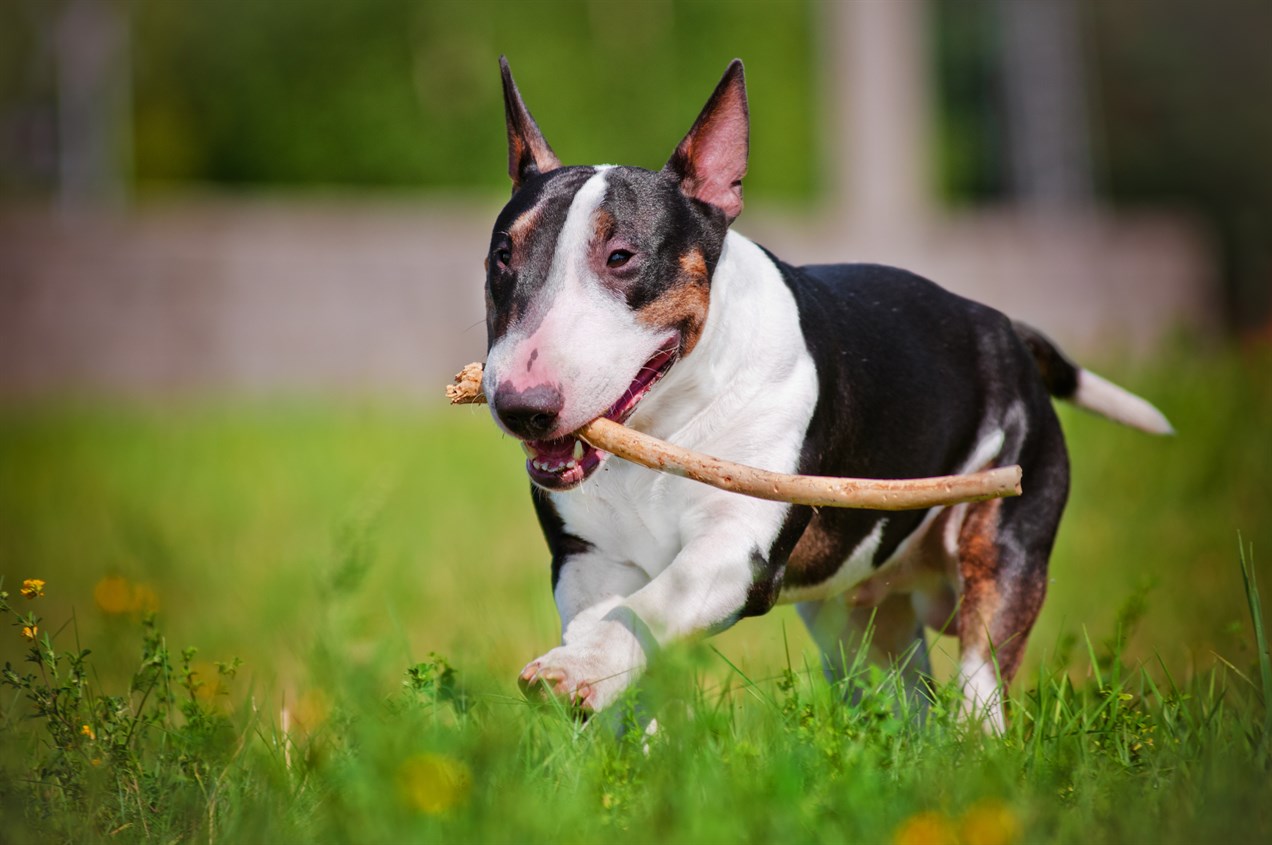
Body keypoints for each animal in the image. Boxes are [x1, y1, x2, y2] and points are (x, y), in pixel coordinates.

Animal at [478, 57, 1170, 727]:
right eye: (503, 256)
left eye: (621, 255)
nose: (521, 408)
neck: (663, 427)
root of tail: (1006, 329)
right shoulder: (586, 555)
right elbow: (618, 633)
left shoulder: (739, 544)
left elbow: (655, 604)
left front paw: (572, 671)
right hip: (857, 620)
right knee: (905, 700)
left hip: (1003, 547)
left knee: (981, 679)